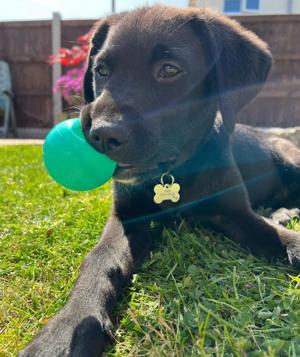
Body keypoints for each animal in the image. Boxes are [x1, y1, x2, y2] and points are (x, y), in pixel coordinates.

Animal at [19, 5, 300, 356]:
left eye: (169, 70)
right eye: (101, 71)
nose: (101, 134)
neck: (172, 173)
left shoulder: (234, 213)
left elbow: (280, 239)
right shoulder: (127, 219)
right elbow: (98, 262)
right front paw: (65, 331)